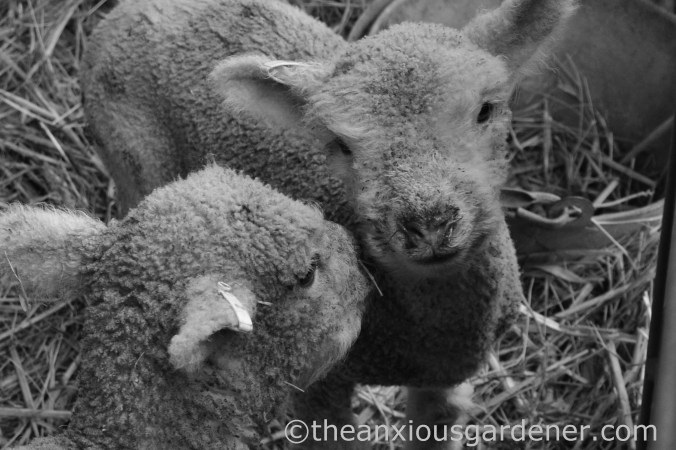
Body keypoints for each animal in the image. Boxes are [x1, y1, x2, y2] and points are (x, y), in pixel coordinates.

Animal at [80, 0, 577, 447]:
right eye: (341, 144)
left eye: (486, 110)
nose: (429, 224)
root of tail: (129, 11)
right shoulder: (320, 381)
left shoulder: (445, 378)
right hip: (131, 152)